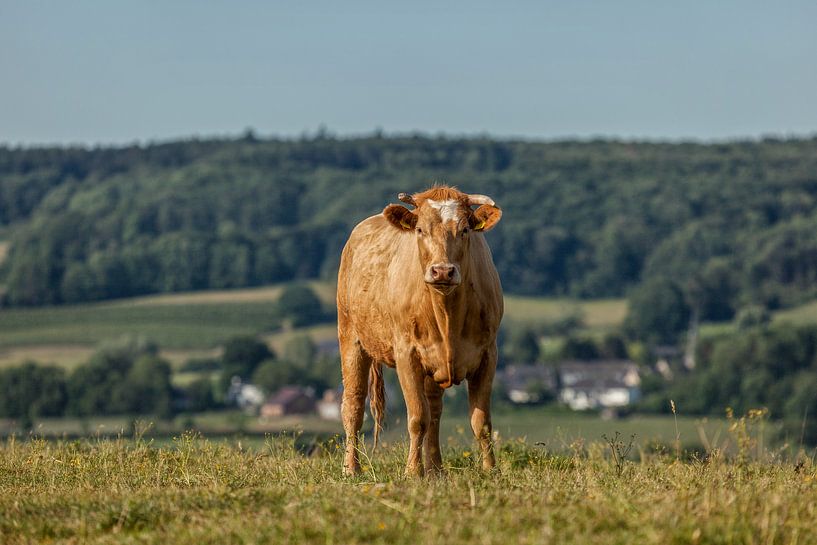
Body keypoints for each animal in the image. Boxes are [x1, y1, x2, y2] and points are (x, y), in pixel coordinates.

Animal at [338, 185, 504, 474]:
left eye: (464, 229)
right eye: (419, 230)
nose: (442, 271)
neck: (447, 313)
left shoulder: (488, 355)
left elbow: (480, 421)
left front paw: (490, 470)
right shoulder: (407, 355)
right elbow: (417, 418)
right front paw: (413, 472)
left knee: (435, 410)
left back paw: (436, 470)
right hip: (350, 336)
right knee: (354, 406)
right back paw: (352, 468)